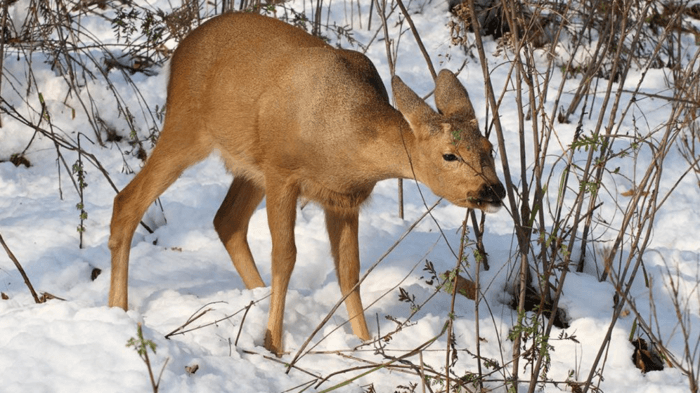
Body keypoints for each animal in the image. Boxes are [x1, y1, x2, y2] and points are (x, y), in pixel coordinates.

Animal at [108, 12, 504, 356]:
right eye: (449, 155)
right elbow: (285, 257)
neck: (343, 137)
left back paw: (255, 296)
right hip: (187, 126)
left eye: (489, 147)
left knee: (227, 220)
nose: (494, 191)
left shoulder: (342, 198)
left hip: (249, 165)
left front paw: (363, 344)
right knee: (127, 201)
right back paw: (117, 310)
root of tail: (180, 50)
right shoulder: (283, 173)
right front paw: (275, 344)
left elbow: (349, 271)